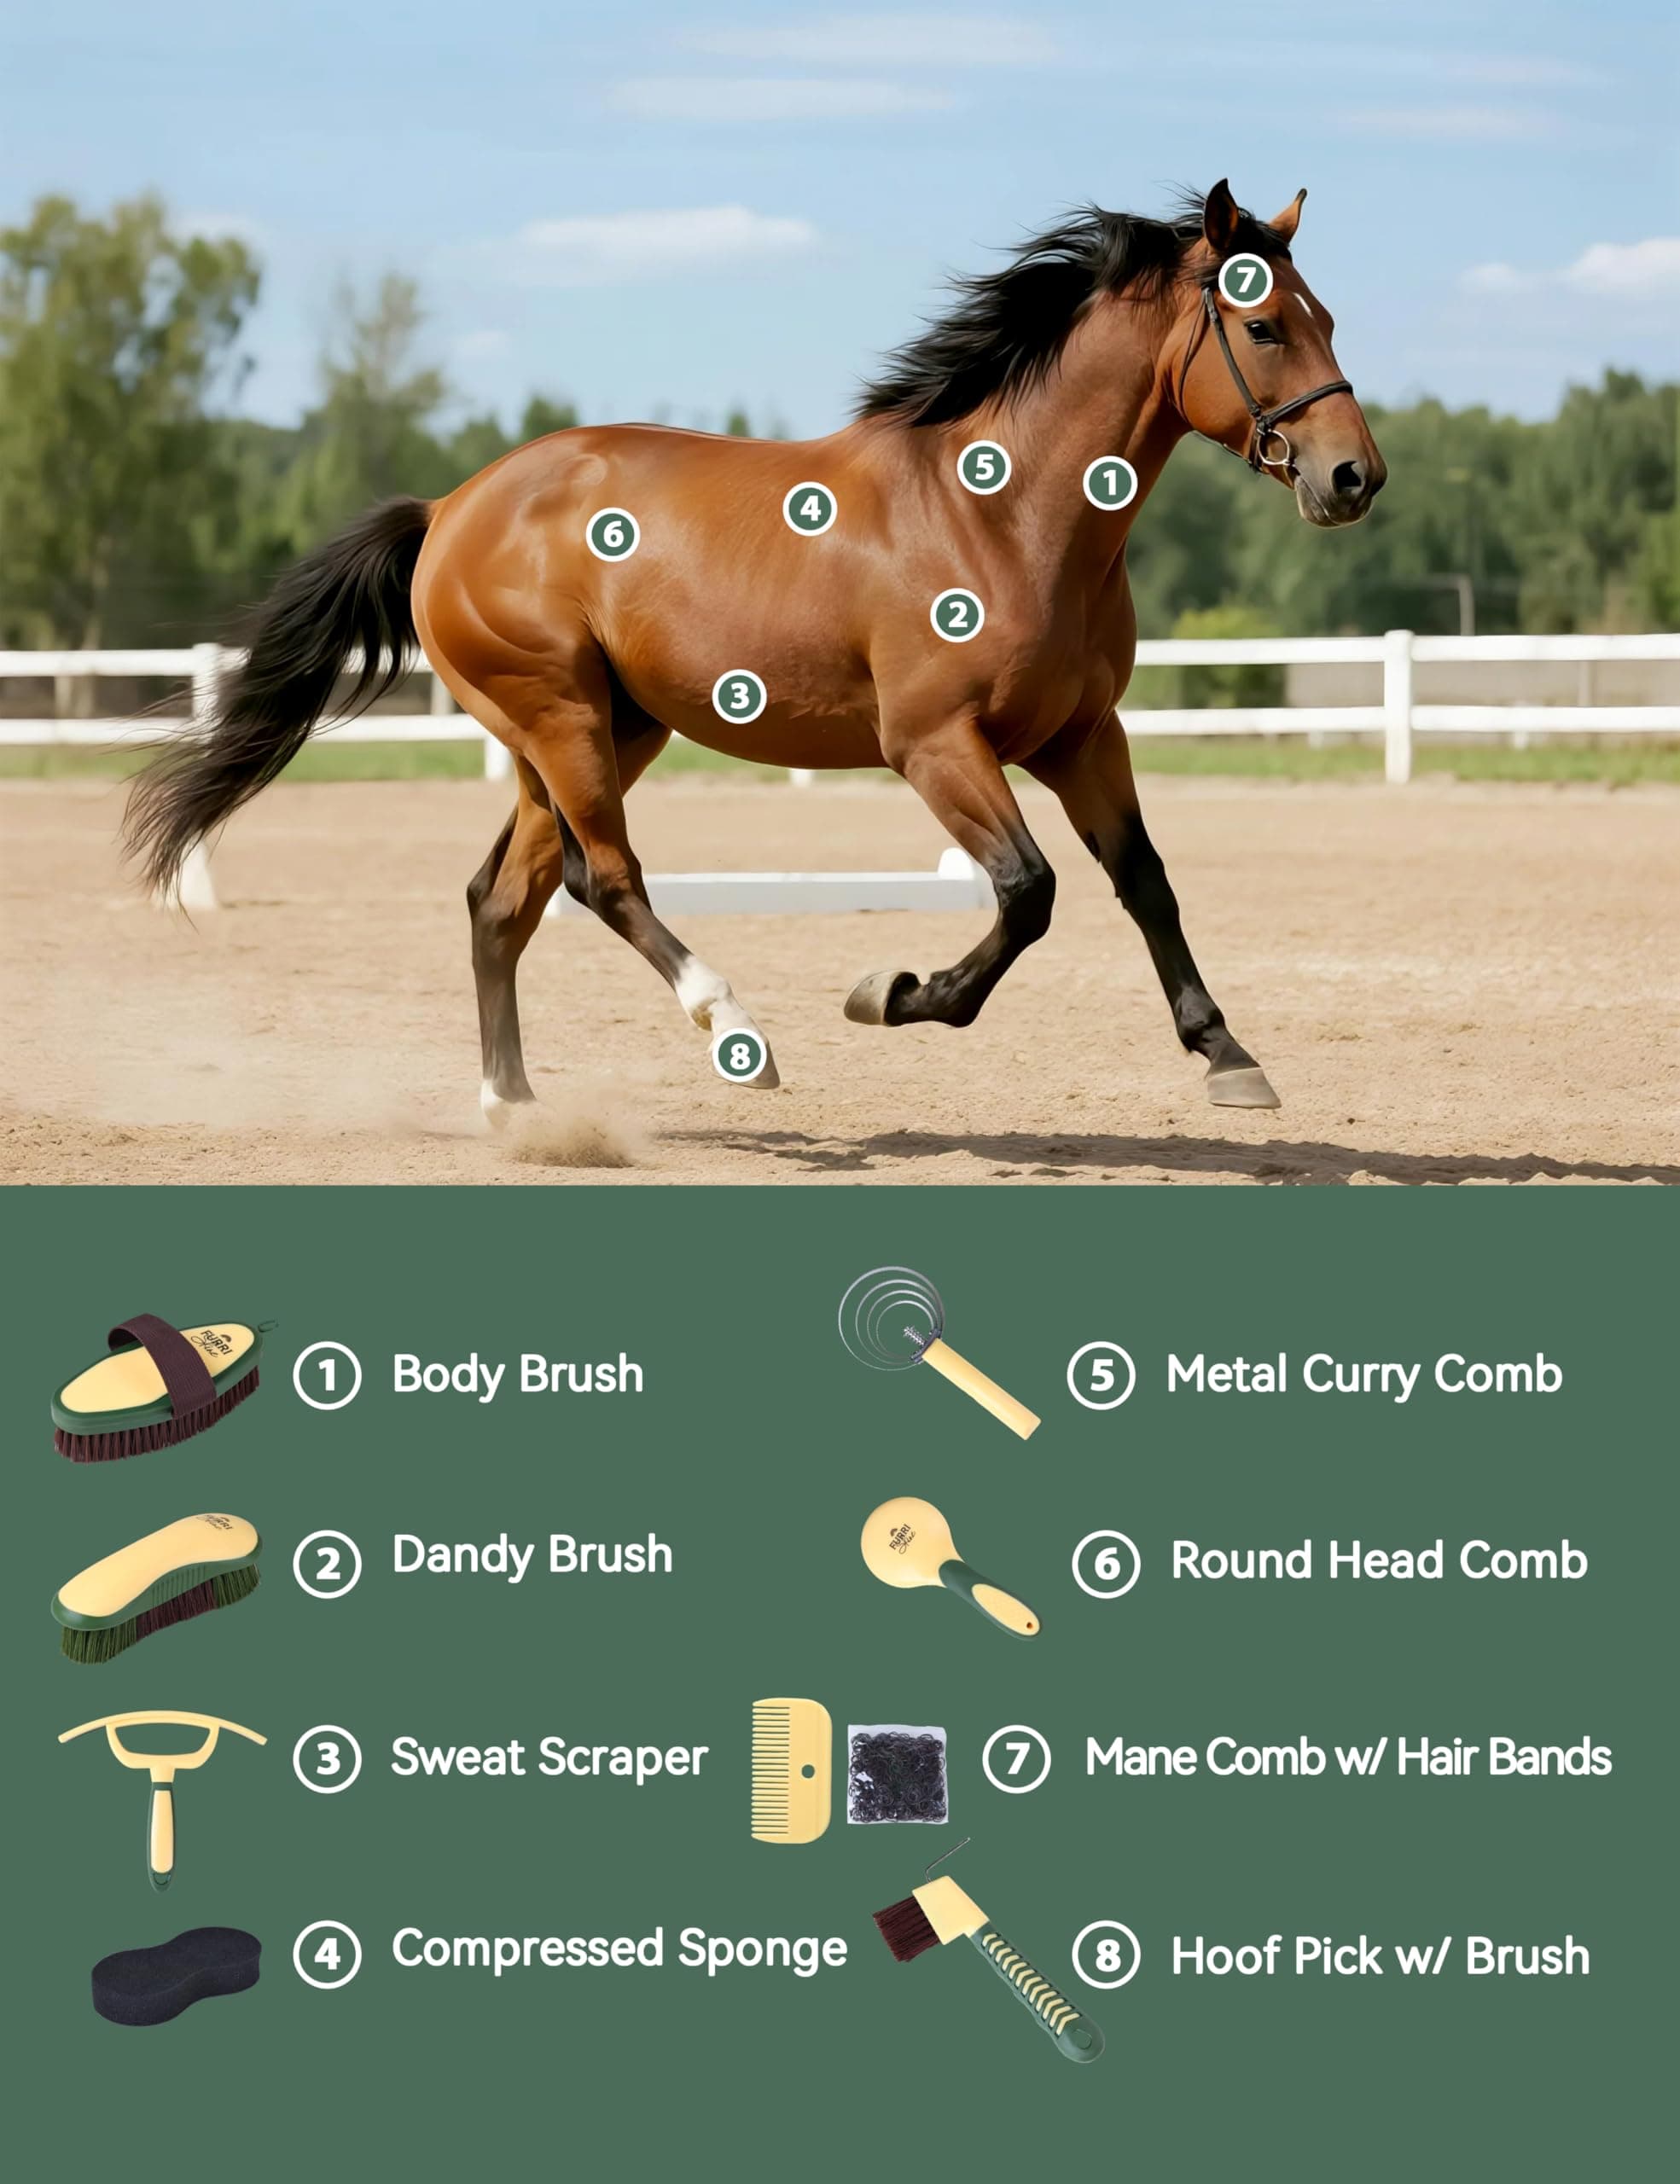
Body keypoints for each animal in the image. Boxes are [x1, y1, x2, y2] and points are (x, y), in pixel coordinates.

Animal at [126, 179, 1384, 1123]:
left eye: (1326, 317)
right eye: (1263, 325)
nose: (1353, 478)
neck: (1005, 513)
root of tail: (450, 508)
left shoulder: (1082, 736)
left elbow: (1143, 881)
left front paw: (1228, 1057)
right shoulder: (934, 745)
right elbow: (1028, 892)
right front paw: (893, 992)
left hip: (594, 733)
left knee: (502, 899)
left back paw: (518, 1110)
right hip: (561, 721)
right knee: (601, 877)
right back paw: (736, 1032)